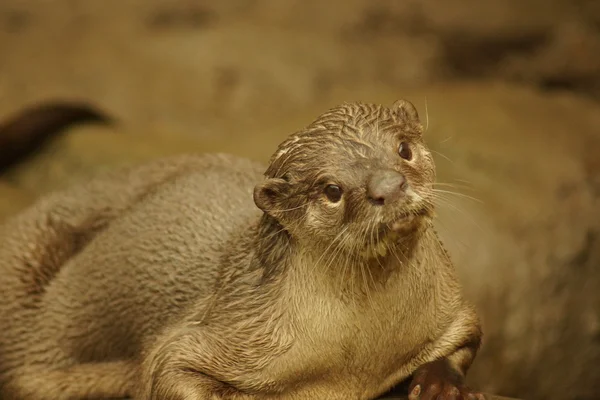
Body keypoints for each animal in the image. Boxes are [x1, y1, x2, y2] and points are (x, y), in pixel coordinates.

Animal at [0, 100, 482, 400]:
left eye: (403, 149)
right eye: (331, 190)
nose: (388, 186)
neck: (356, 358)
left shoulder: (449, 307)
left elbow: (468, 336)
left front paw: (440, 383)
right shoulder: (218, 331)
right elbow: (164, 370)